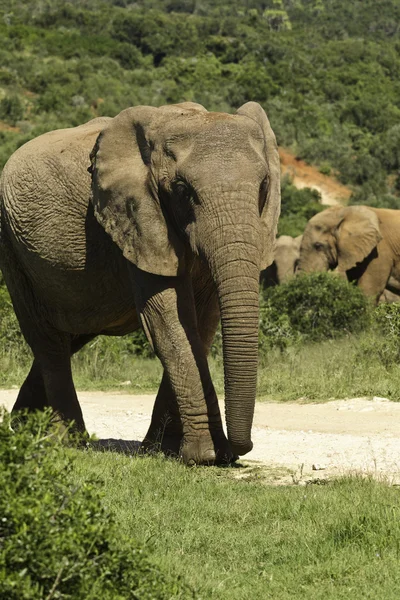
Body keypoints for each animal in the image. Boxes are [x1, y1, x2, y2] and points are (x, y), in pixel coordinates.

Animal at [0, 101, 282, 466]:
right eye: (183, 191)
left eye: (263, 186)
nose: (240, 449)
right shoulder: (137, 218)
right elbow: (170, 320)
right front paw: (205, 455)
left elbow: (203, 324)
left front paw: (164, 450)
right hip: (13, 247)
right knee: (47, 340)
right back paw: (69, 442)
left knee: (68, 336)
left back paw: (22, 429)